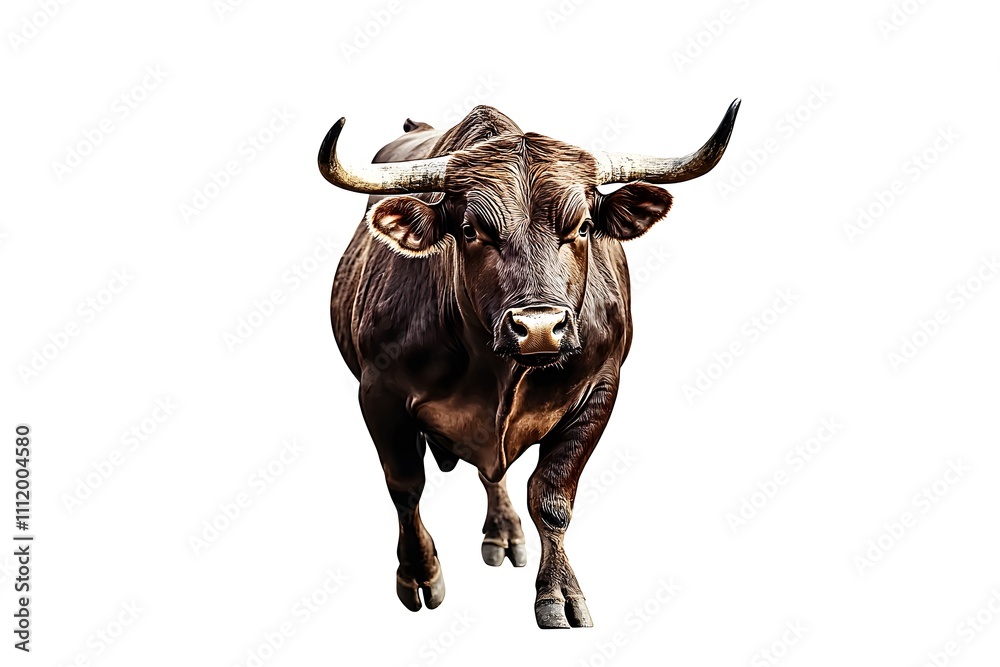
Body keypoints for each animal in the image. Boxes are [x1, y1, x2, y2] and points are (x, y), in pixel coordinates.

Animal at [318, 101, 739, 628]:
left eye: (583, 226)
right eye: (471, 230)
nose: (539, 327)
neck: (499, 371)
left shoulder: (601, 388)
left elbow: (552, 494)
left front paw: (560, 592)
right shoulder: (379, 394)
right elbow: (406, 487)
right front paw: (419, 573)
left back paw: (504, 532)